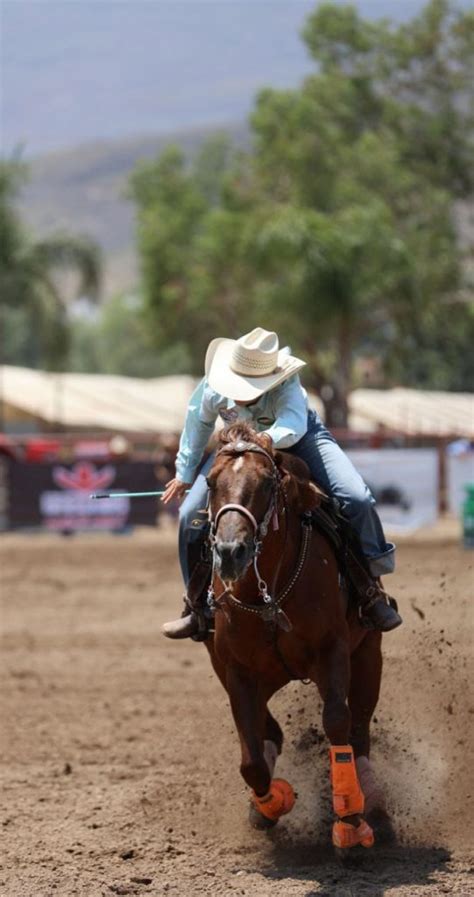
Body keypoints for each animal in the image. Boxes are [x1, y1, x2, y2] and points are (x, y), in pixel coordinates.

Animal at [203, 424, 386, 852]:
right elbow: (251, 760)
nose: (231, 552)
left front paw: (350, 821)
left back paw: (374, 802)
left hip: (369, 654)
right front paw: (271, 803)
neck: (267, 594)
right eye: (210, 482)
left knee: (360, 731)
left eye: (269, 483)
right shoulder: (236, 671)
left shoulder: (333, 651)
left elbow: (337, 722)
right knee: (270, 732)